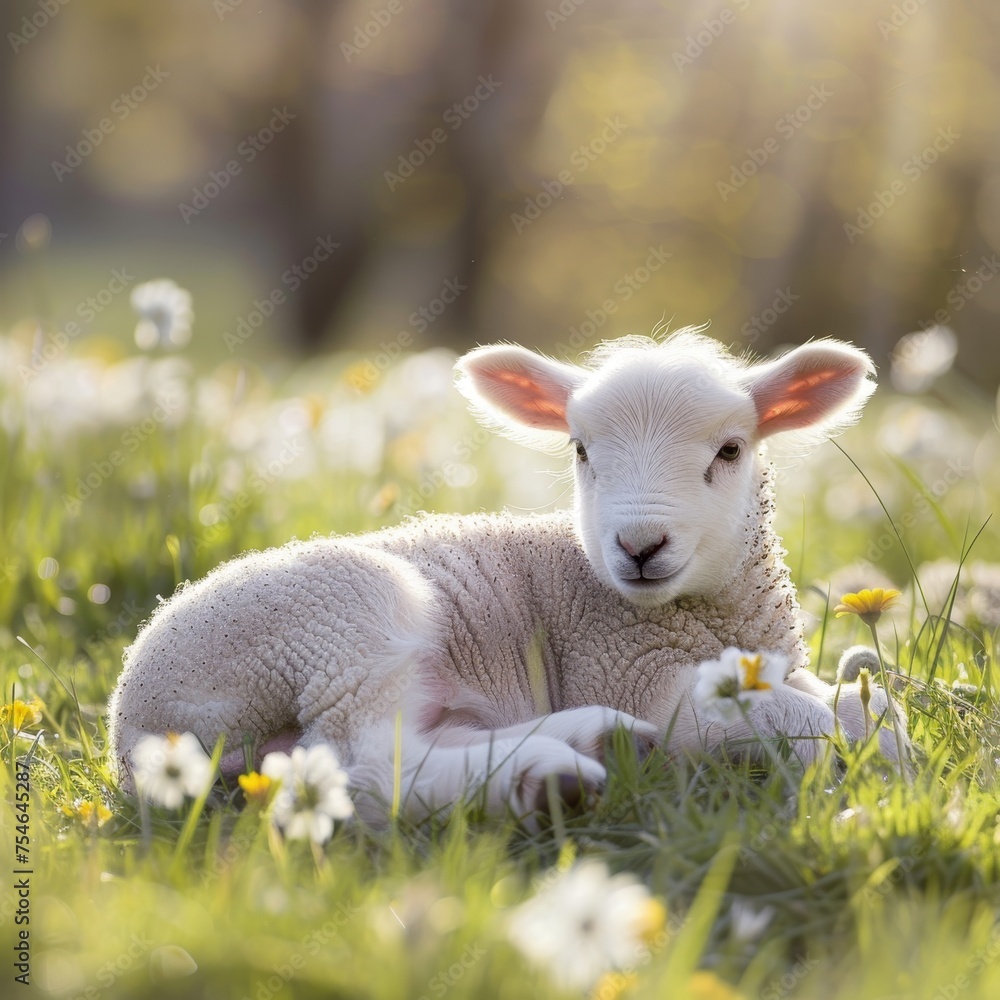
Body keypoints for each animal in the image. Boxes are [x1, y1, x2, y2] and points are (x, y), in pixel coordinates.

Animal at [107, 330, 908, 823]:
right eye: (580, 449)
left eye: (731, 450)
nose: (639, 545)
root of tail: (133, 735)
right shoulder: (628, 671)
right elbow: (811, 723)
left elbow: (867, 709)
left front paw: (890, 755)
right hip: (343, 623)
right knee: (366, 767)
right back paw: (552, 781)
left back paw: (588, 745)